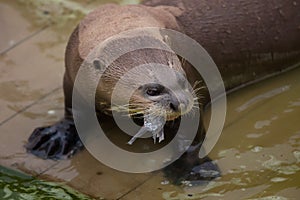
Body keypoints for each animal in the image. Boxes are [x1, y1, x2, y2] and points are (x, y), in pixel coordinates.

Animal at [26, 0, 300, 182]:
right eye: (153, 90)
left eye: (179, 77)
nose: (180, 102)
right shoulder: (70, 76)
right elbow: (73, 110)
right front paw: (55, 137)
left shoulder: (193, 78)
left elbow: (192, 133)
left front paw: (192, 170)